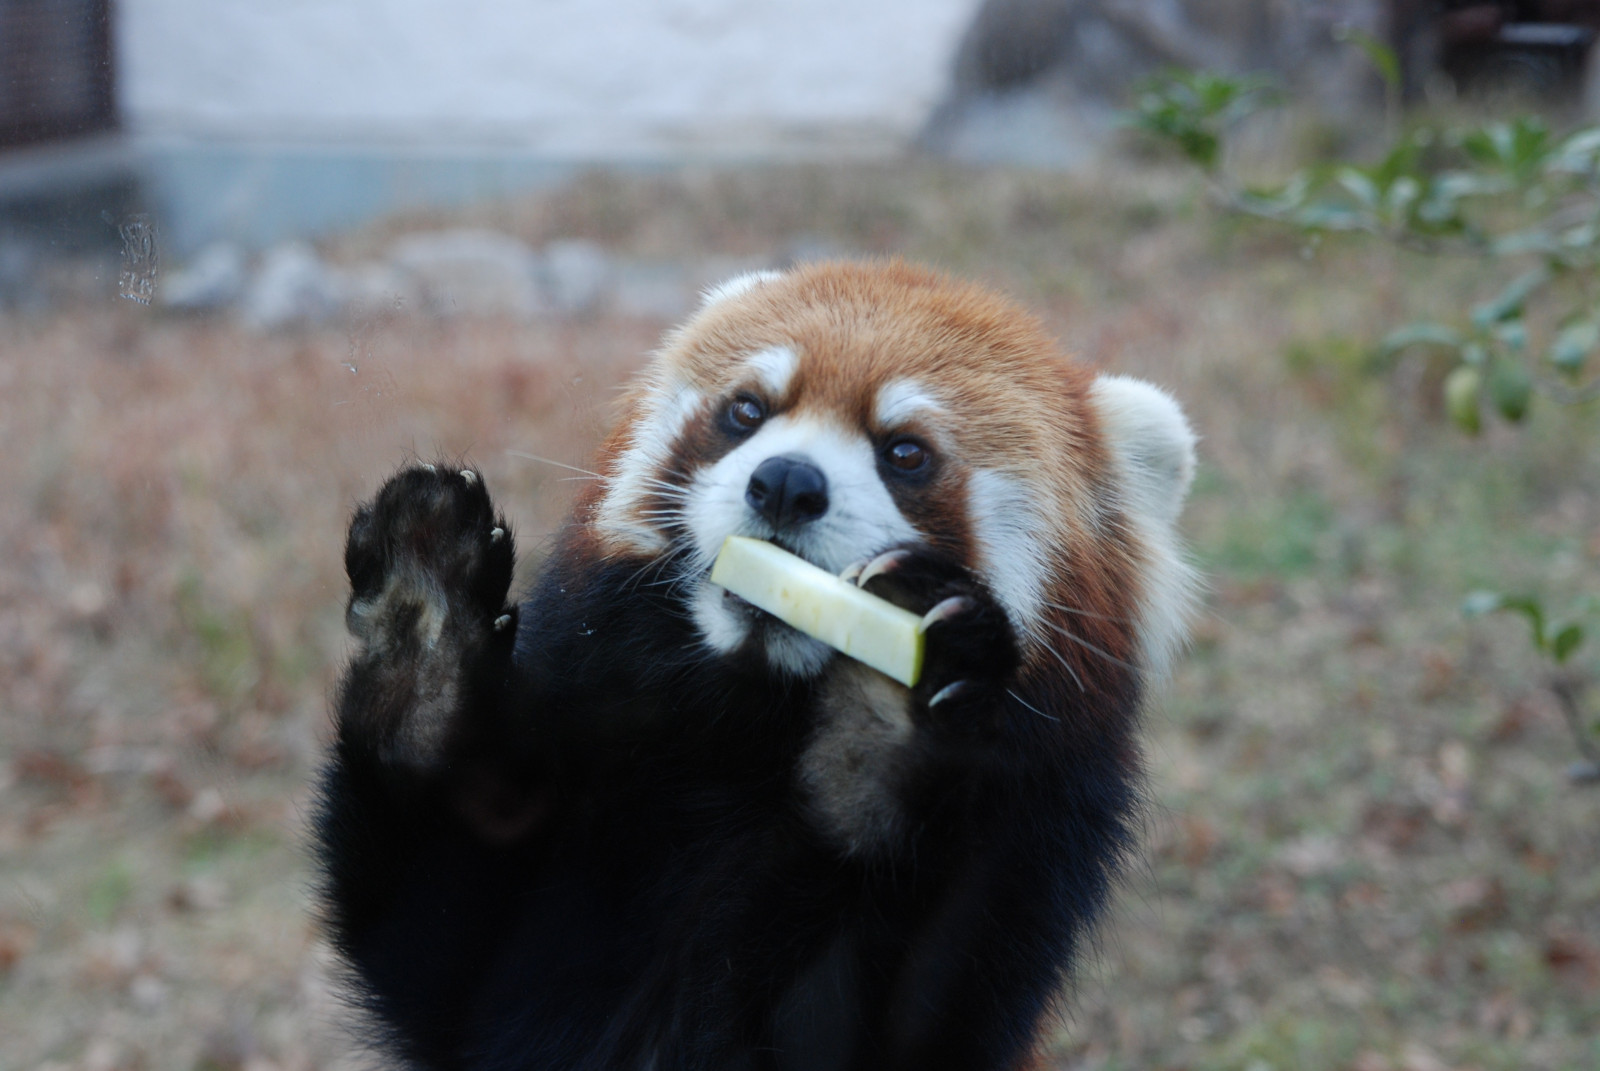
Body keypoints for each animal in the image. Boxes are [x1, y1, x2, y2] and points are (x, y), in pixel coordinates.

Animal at [315, 259, 1198, 1070]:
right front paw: (427, 629)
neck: (750, 725)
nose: (785, 482)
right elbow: (427, 945)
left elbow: (896, 1023)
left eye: (905, 452)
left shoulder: (1028, 846)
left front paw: (885, 718)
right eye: (747, 410)